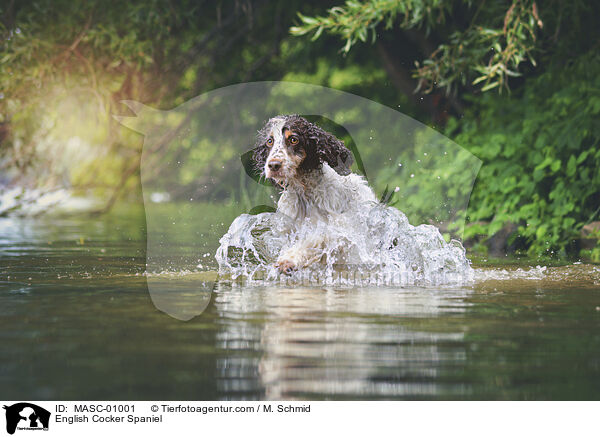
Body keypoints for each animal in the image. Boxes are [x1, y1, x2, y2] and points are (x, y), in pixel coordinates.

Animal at [252, 115, 376, 272]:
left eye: (293, 139)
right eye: (270, 141)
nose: (273, 165)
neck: (305, 194)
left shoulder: (342, 228)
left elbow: (317, 238)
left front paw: (289, 259)